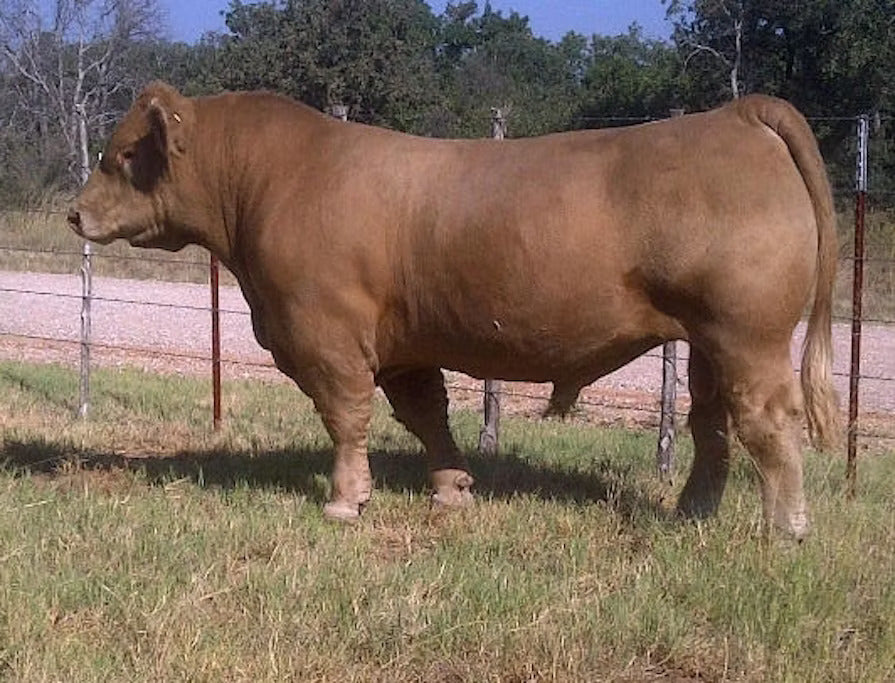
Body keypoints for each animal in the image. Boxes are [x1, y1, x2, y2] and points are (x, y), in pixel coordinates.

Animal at [68, 81, 839, 538]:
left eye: (122, 154)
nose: (74, 213)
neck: (270, 179)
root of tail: (735, 114)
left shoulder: (325, 334)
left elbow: (346, 417)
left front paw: (345, 499)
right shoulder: (402, 344)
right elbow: (426, 415)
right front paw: (451, 490)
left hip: (749, 334)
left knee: (768, 421)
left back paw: (785, 529)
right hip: (708, 341)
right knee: (712, 425)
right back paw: (690, 515)